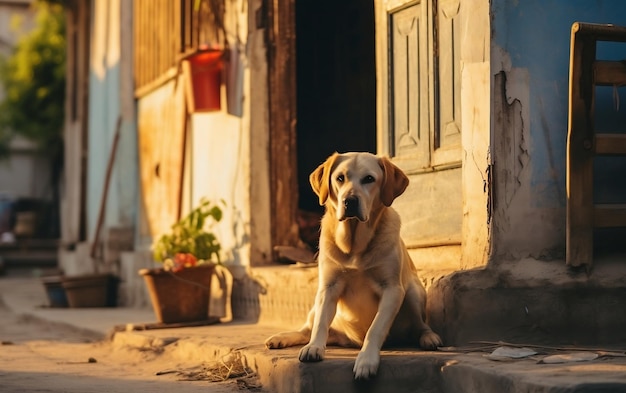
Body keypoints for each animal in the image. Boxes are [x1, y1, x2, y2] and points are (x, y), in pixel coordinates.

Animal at [264, 152, 438, 378]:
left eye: (369, 179)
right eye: (340, 178)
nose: (350, 201)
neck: (355, 244)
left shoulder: (392, 289)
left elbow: (375, 328)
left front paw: (366, 360)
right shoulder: (328, 288)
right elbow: (320, 324)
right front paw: (314, 347)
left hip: (413, 293)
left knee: (420, 325)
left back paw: (429, 337)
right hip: (315, 305)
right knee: (307, 329)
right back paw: (282, 338)